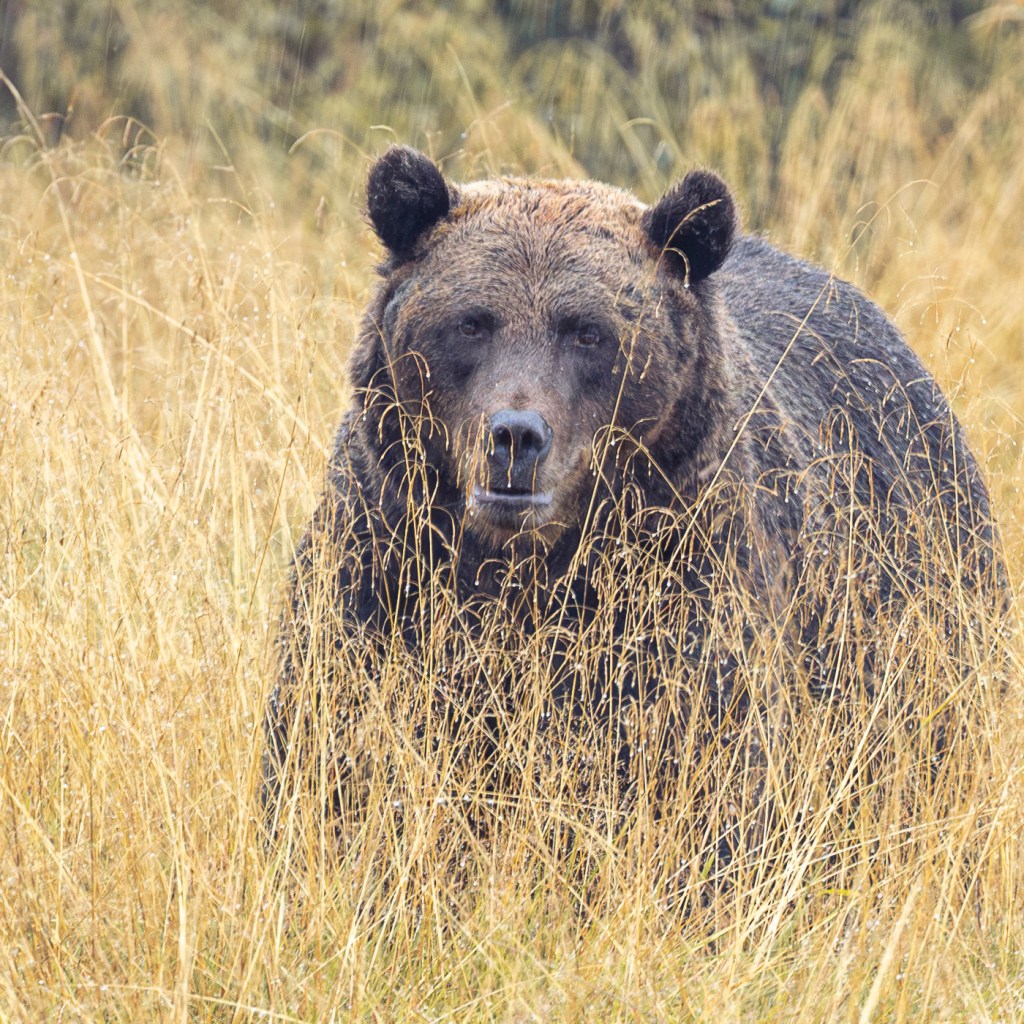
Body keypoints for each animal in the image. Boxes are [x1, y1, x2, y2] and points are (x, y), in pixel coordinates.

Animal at [262, 145, 1003, 852]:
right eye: (472, 322)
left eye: (588, 331)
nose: (515, 438)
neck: (526, 567)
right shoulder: (383, 567)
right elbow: (331, 758)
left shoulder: (679, 579)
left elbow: (708, 779)